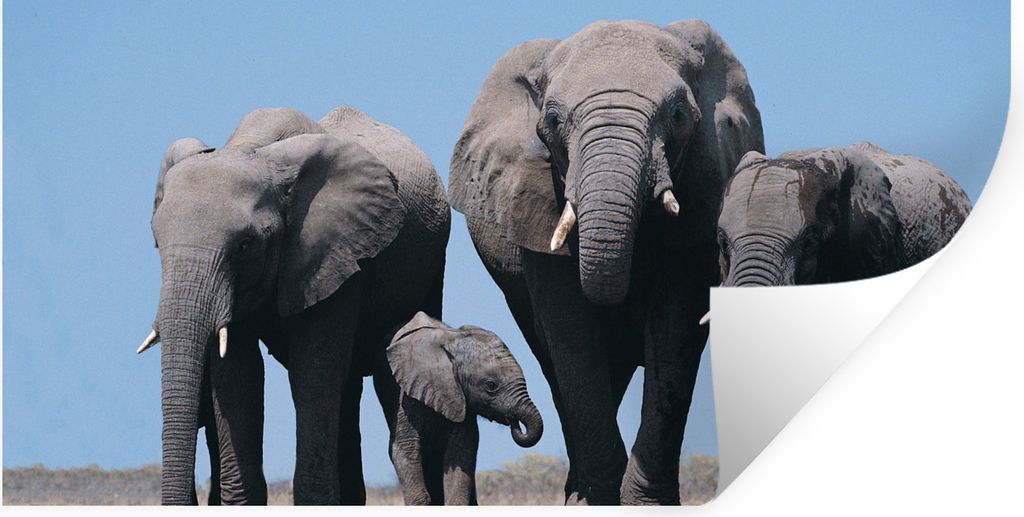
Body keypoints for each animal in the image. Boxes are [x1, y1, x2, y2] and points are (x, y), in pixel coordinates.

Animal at [140, 105, 450, 504]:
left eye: (245, 245)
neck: (254, 149)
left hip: (431, 267)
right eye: (157, 242)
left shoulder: (338, 255)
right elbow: (239, 375)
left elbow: (313, 369)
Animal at [377, 311, 543, 505]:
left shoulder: (462, 403)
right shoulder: (407, 396)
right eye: (491, 385)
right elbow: (404, 448)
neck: (451, 340)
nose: (514, 421)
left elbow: (461, 451)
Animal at [447, 20, 763, 504]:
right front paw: (596, 499)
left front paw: (646, 503)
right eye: (551, 123)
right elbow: (572, 332)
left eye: (678, 116)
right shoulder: (536, 200)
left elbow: (675, 329)